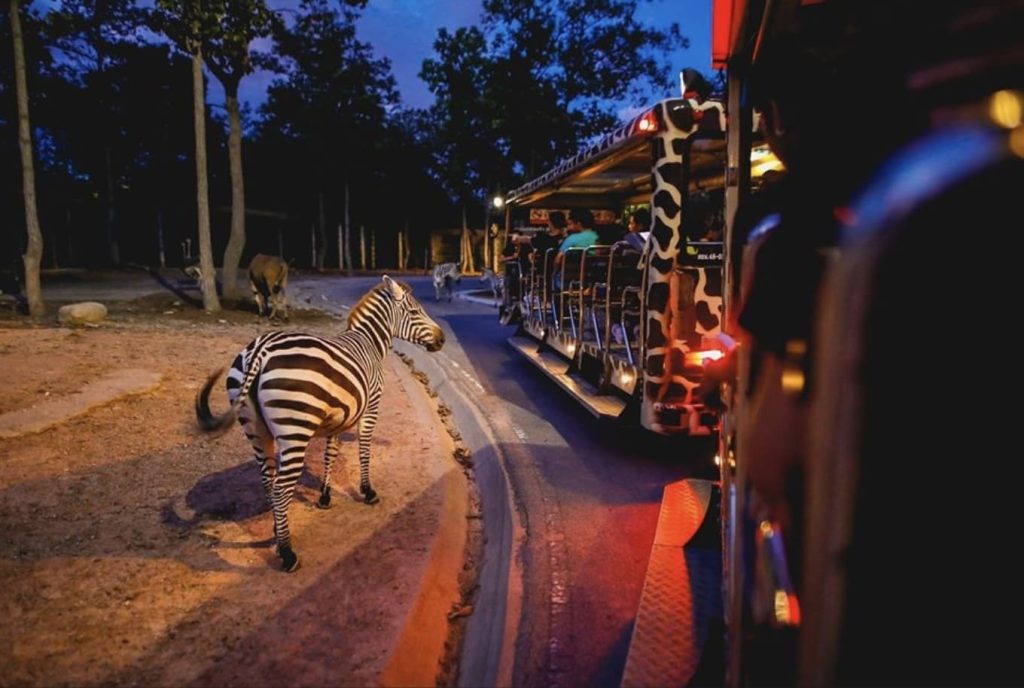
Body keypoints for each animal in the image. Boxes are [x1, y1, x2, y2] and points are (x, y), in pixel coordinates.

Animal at [195, 274, 444, 569]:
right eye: (416, 312)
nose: (442, 339)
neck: (370, 343)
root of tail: (260, 351)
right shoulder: (370, 407)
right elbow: (364, 450)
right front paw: (367, 491)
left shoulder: (338, 416)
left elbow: (330, 454)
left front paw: (325, 496)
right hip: (294, 429)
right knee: (280, 489)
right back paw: (287, 553)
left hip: (255, 429)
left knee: (267, 479)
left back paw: (277, 532)